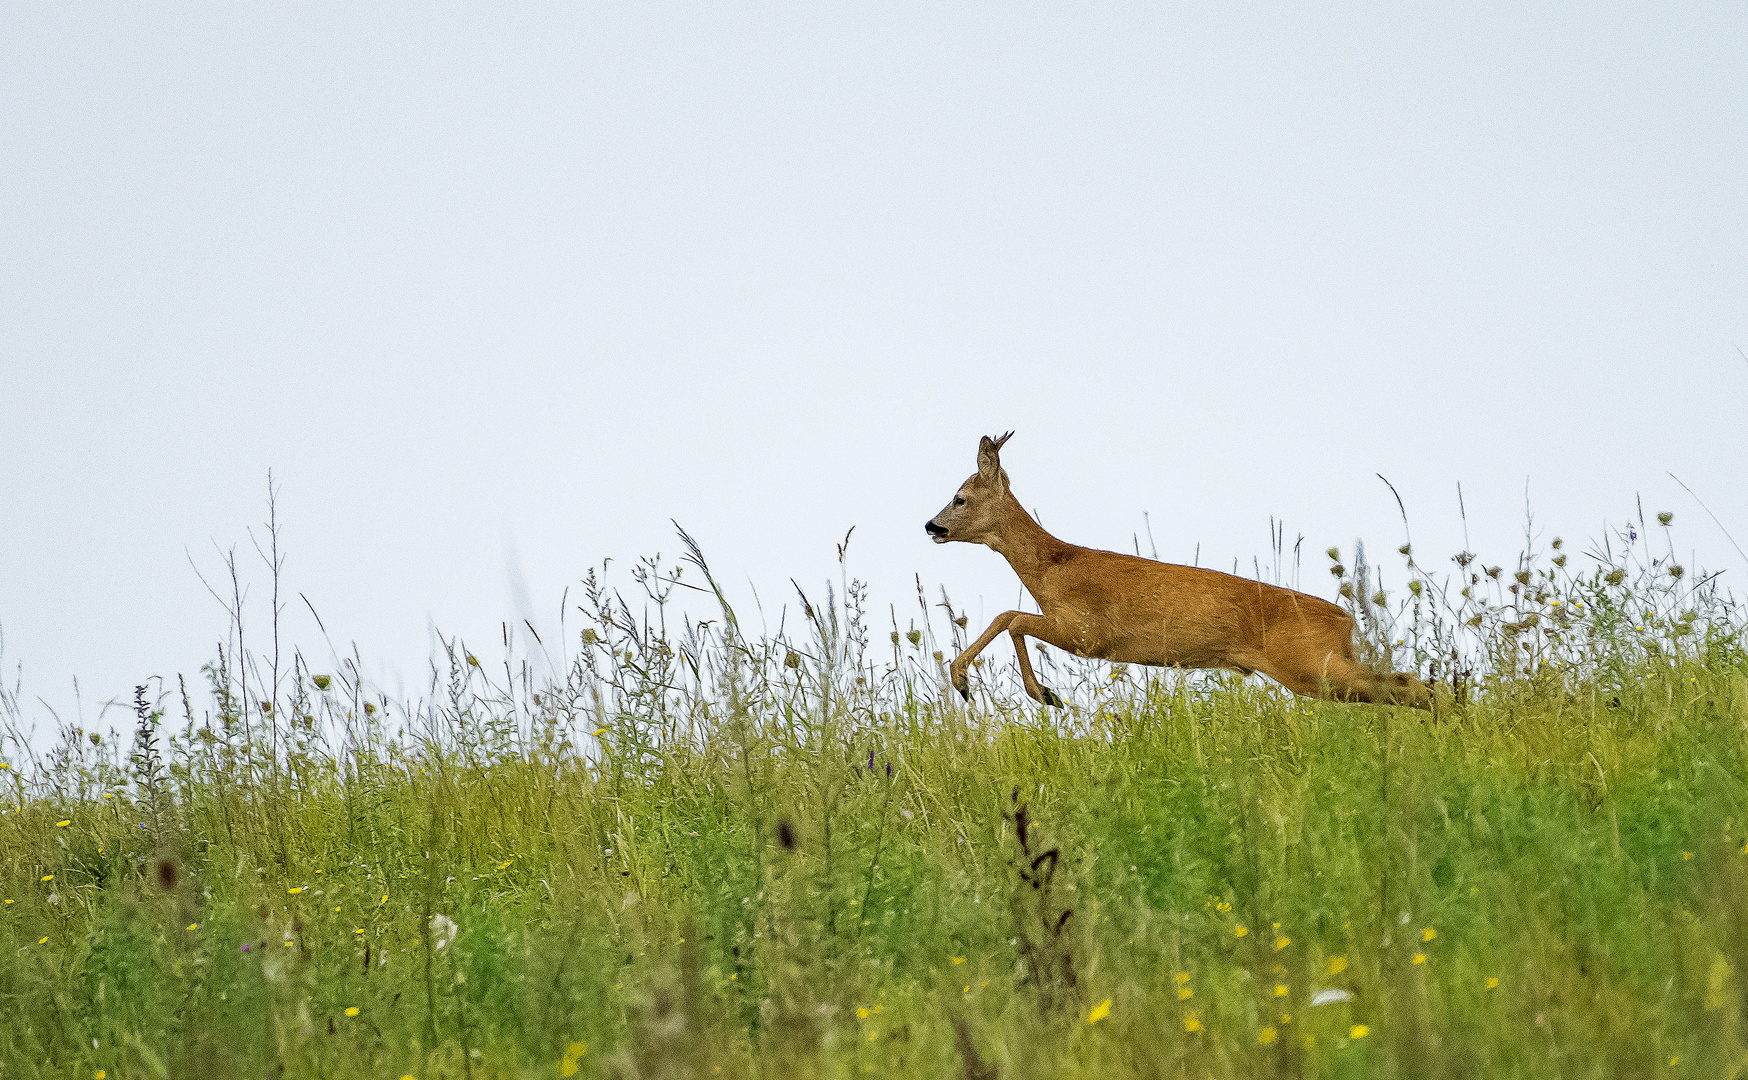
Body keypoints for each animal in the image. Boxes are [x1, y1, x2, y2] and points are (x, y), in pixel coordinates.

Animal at [929, 433, 1433, 709]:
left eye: (960, 498)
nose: (931, 525)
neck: (1052, 568)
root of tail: (1345, 620)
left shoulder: (1089, 632)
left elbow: (1011, 618)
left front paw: (1027, 692)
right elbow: (1007, 616)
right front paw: (980, 683)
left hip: (1314, 667)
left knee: (1410, 686)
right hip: (1324, 667)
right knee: (1409, 684)